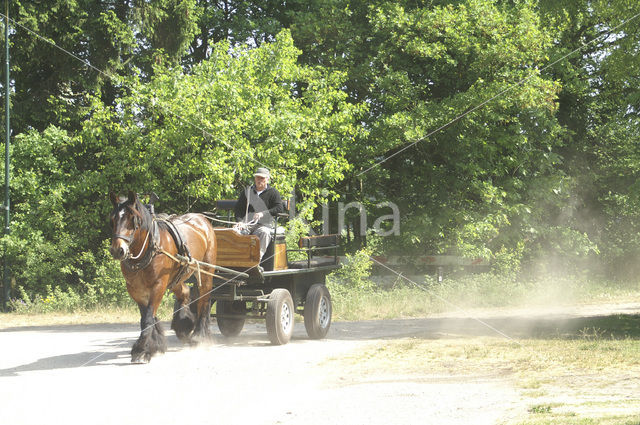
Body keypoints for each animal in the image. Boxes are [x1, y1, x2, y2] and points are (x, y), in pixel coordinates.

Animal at [109, 191, 218, 362]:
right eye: (112, 220)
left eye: (133, 219)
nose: (117, 250)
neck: (149, 249)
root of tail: (202, 219)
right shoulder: (135, 290)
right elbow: (146, 317)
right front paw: (155, 345)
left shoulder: (159, 285)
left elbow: (148, 318)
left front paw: (141, 350)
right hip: (176, 278)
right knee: (185, 293)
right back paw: (183, 326)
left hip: (206, 270)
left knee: (204, 300)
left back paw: (199, 336)